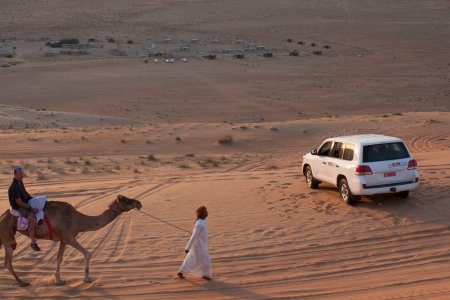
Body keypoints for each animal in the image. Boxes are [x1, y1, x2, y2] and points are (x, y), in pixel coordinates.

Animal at [0, 193, 142, 288]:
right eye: (126, 200)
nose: (139, 203)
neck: (78, 220)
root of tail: (2, 216)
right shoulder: (69, 237)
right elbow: (87, 253)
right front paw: (87, 278)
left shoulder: (63, 239)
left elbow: (59, 258)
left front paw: (58, 280)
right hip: (7, 233)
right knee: (8, 260)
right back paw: (22, 282)